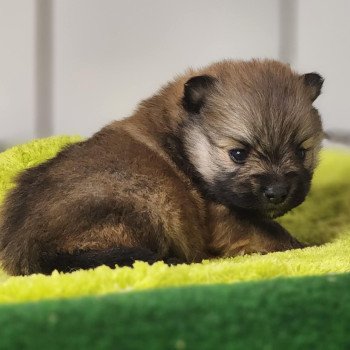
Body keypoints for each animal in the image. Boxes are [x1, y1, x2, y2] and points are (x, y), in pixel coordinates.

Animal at [0, 59, 324, 276]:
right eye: (238, 154)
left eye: (302, 151)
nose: (278, 192)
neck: (181, 143)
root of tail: (27, 248)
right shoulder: (225, 218)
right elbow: (272, 233)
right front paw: (306, 245)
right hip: (147, 202)